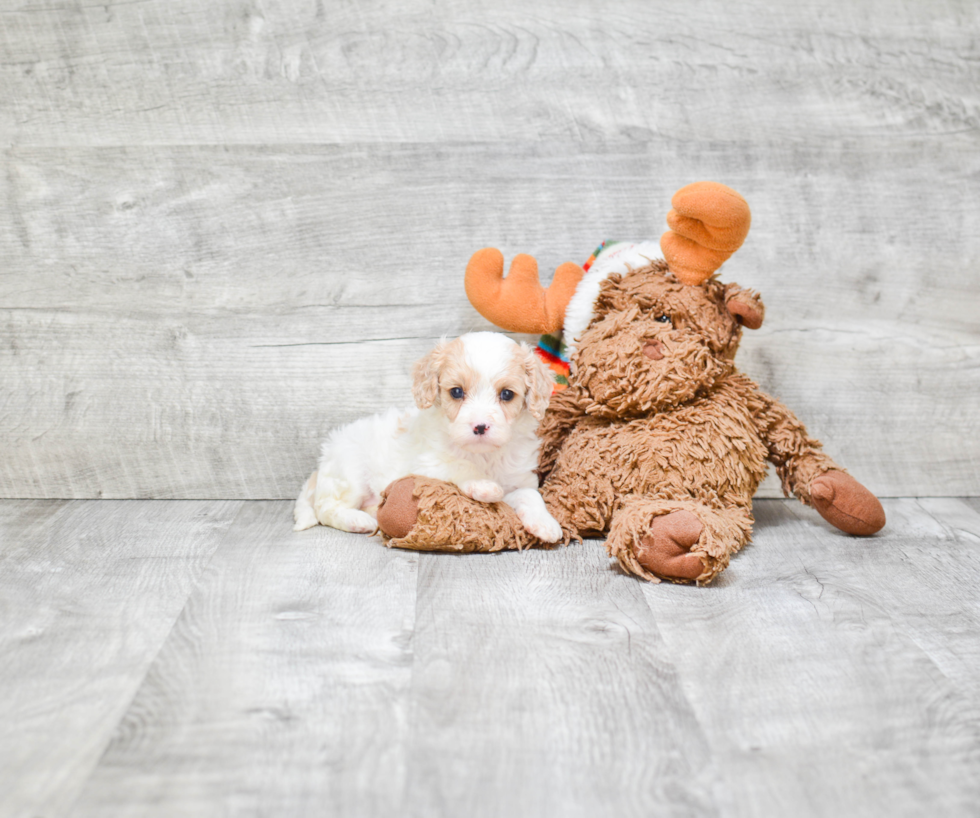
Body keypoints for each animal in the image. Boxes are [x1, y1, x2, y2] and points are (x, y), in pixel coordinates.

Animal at [294, 328, 564, 540]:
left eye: (507, 394)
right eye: (456, 392)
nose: (480, 426)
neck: (483, 455)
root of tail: (324, 459)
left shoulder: (518, 480)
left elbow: (531, 495)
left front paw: (546, 524)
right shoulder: (426, 465)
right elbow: (459, 465)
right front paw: (482, 484)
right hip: (350, 472)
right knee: (325, 508)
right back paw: (357, 521)